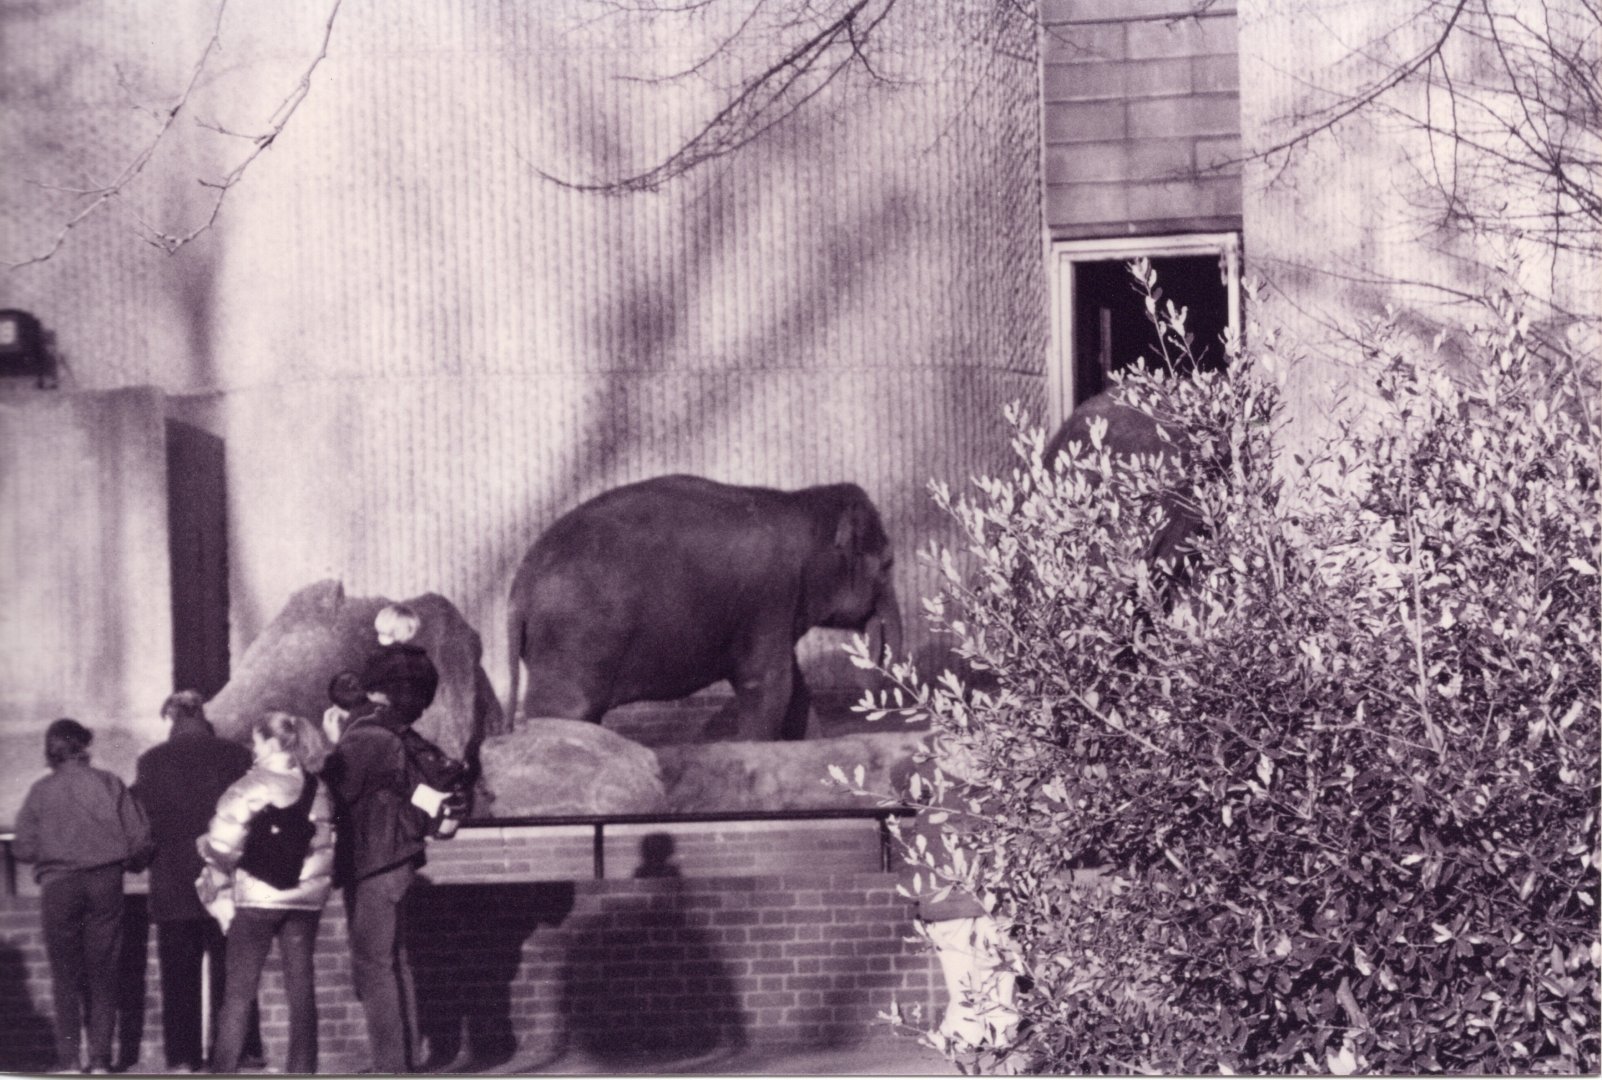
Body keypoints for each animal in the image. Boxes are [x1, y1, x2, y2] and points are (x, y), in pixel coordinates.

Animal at [506, 474, 903, 741]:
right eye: (887, 563)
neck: (801, 503)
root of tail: (520, 585)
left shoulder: (776, 610)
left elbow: (795, 687)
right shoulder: (770, 598)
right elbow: (769, 685)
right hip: (571, 642)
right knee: (562, 713)